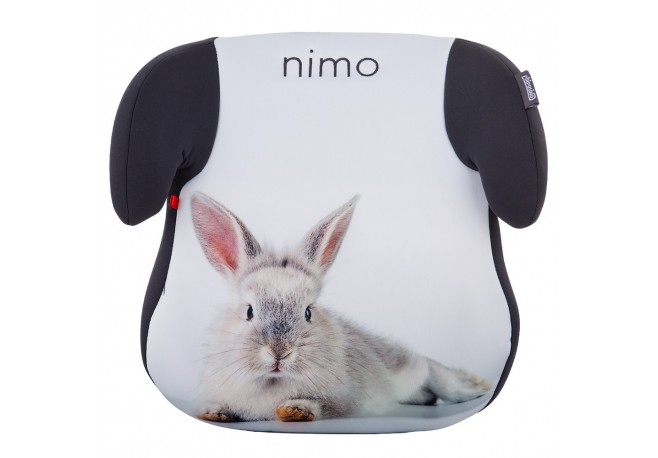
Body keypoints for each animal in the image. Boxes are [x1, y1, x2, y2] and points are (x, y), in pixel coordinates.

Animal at [191, 192, 490, 422]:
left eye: (308, 312)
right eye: (249, 311)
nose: (279, 352)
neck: (273, 382)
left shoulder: (344, 402)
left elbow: (324, 407)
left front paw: (294, 410)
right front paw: (213, 412)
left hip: (405, 365)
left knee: (430, 367)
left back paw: (477, 386)